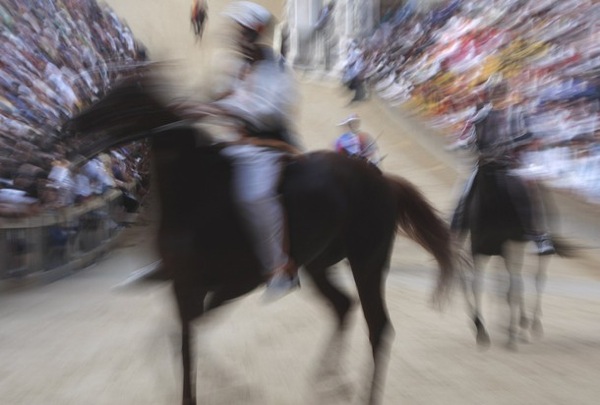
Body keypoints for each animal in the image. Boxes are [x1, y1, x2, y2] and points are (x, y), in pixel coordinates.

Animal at [65, 73, 458, 404]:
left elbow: (187, 339)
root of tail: (382, 181)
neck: (196, 192)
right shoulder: (185, 285)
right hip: (319, 263)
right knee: (343, 306)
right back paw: (327, 378)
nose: (72, 125)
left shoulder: (231, 283)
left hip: (367, 262)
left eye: (123, 99)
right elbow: (179, 337)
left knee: (378, 327)